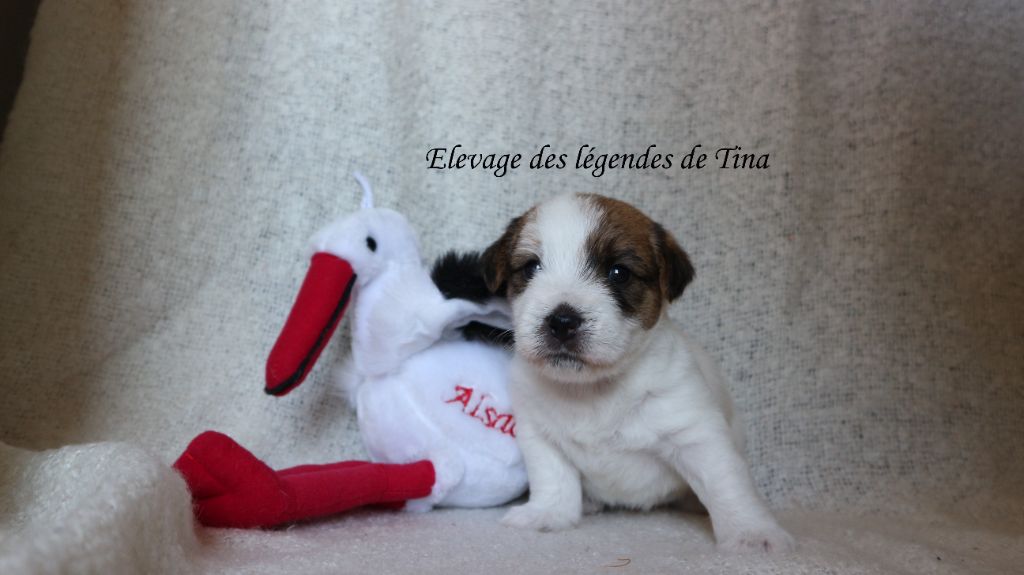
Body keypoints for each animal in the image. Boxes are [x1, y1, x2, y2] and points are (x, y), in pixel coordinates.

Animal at [480, 193, 794, 553]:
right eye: (531, 267)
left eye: (619, 273)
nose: (561, 321)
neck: (593, 390)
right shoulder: (539, 435)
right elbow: (554, 479)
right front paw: (549, 514)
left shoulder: (698, 435)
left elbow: (726, 484)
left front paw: (752, 533)